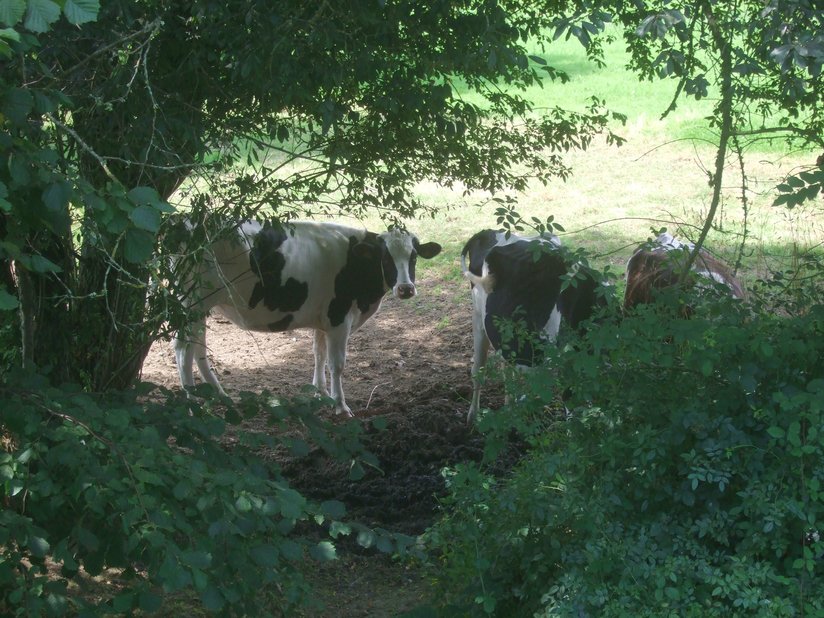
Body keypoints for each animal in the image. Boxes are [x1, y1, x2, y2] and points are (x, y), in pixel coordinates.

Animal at [174, 219, 440, 416]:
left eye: (414, 256)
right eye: (385, 258)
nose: (405, 288)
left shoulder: (323, 321)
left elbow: (318, 355)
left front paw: (321, 393)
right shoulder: (338, 318)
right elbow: (336, 363)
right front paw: (340, 406)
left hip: (200, 308)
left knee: (197, 348)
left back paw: (220, 394)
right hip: (191, 304)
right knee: (182, 351)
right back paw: (191, 403)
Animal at [460, 229, 608, 422]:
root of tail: (488, 232)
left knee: (506, 368)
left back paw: (510, 407)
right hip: (478, 316)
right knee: (479, 368)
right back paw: (473, 415)